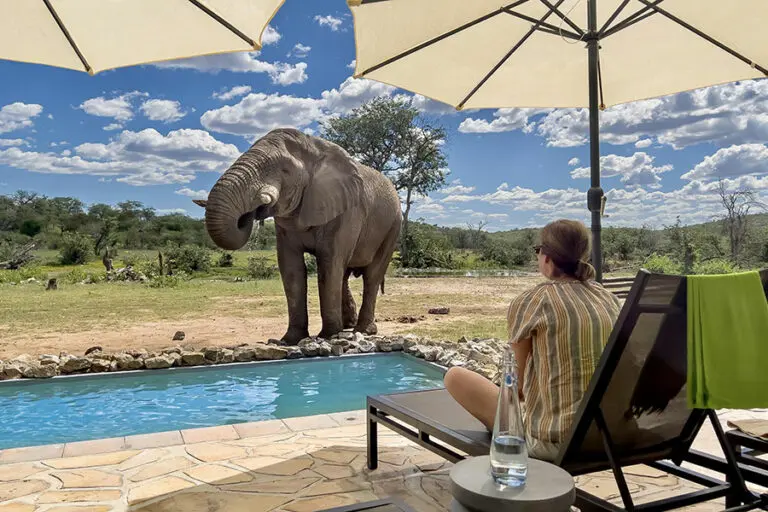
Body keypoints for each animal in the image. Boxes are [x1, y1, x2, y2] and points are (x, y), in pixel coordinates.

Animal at [194, 128, 402, 345]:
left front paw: (328, 337)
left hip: (394, 226)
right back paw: (348, 326)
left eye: (285, 171)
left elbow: (328, 264)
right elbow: (291, 268)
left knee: (371, 275)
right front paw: (290, 340)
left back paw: (364, 330)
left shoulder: (347, 212)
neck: (315, 146)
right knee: (344, 275)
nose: (251, 212)